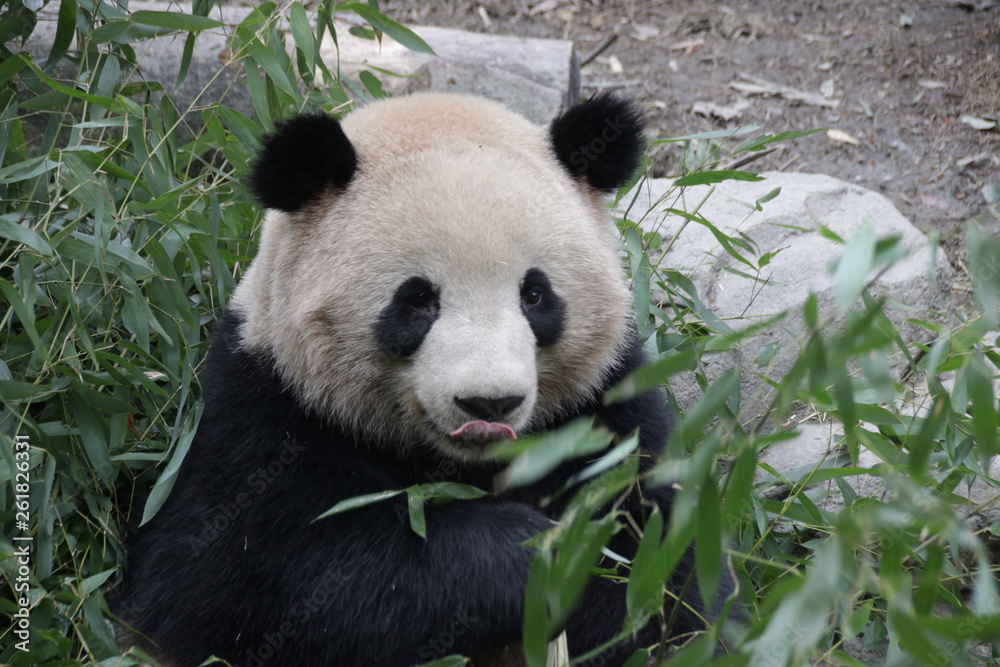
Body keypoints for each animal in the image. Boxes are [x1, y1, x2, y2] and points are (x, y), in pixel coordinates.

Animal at [117, 92, 734, 666]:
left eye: (535, 295)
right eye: (417, 301)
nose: (489, 404)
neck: (462, 466)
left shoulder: (604, 407)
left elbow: (671, 574)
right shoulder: (266, 411)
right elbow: (252, 581)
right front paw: (528, 548)